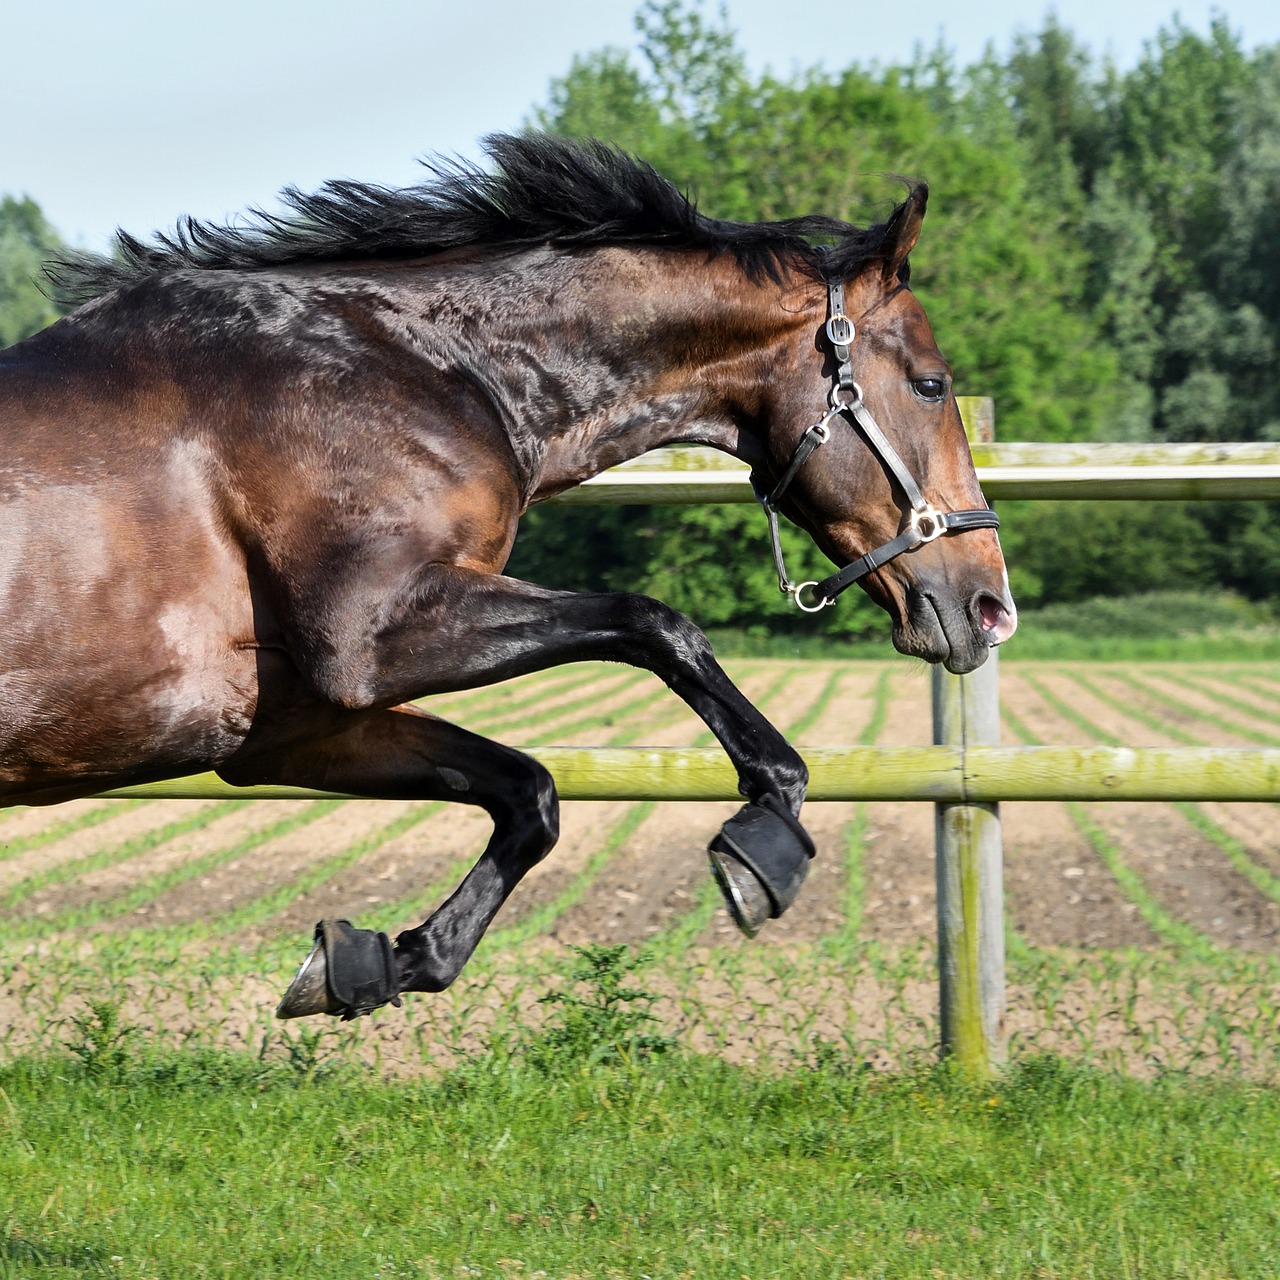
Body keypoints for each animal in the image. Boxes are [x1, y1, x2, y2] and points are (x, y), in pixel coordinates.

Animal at [5, 135, 1013, 1018]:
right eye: (930, 383)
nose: (990, 607)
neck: (421, 367)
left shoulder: (295, 730)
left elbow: (530, 793)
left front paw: (370, 963)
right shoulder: (369, 641)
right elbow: (656, 625)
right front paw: (761, 852)